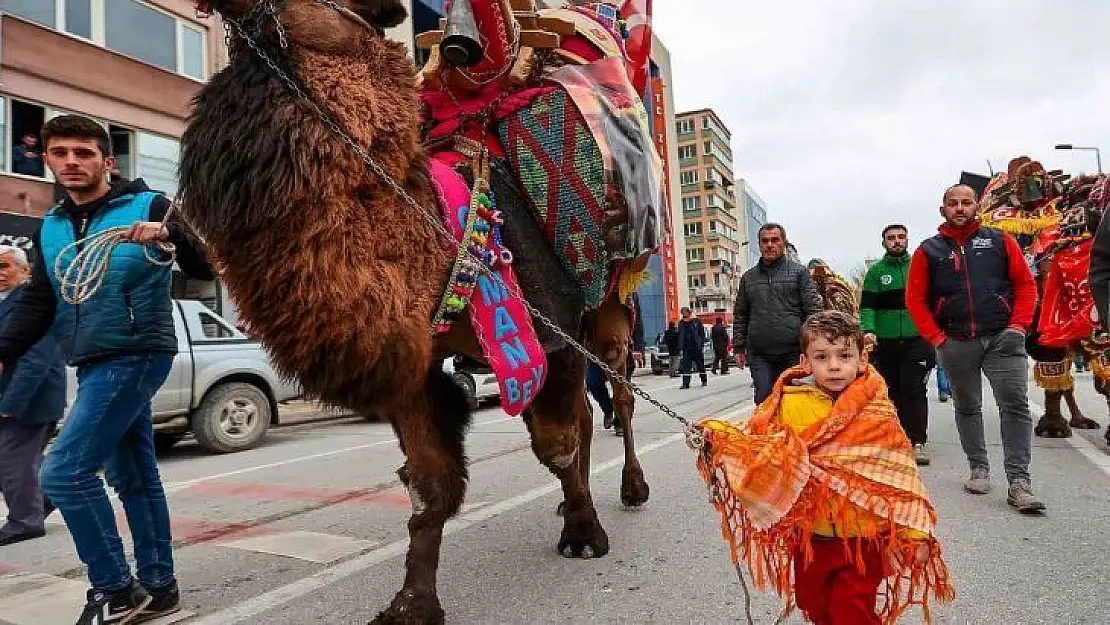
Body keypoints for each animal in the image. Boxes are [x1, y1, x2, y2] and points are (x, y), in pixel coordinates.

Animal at [176, 0, 652, 621]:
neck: (436, 241)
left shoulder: (549, 331)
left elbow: (558, 442)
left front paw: (584, 534)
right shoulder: (417, 365)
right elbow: (431, 486)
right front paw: (413, 602)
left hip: (613, 303)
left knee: (618, 393)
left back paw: (630, 489)